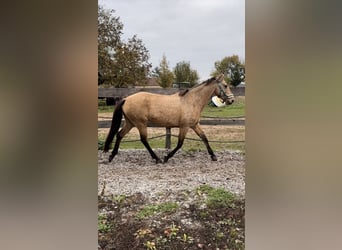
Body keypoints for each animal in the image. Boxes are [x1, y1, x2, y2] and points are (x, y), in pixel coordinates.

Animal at [103, 73, 234, 164]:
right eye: (225, 85)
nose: (232, 100)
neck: (192, 101)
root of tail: (126, 99)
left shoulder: (194, 125)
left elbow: (204, 138)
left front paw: (213, 156)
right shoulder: (185, 126)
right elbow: (180, 143)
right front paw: (166, 157)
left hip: (130, 123)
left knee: (119, 135)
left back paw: (111, 156)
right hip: (140, 123)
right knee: (143, 139)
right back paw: (157, 159)